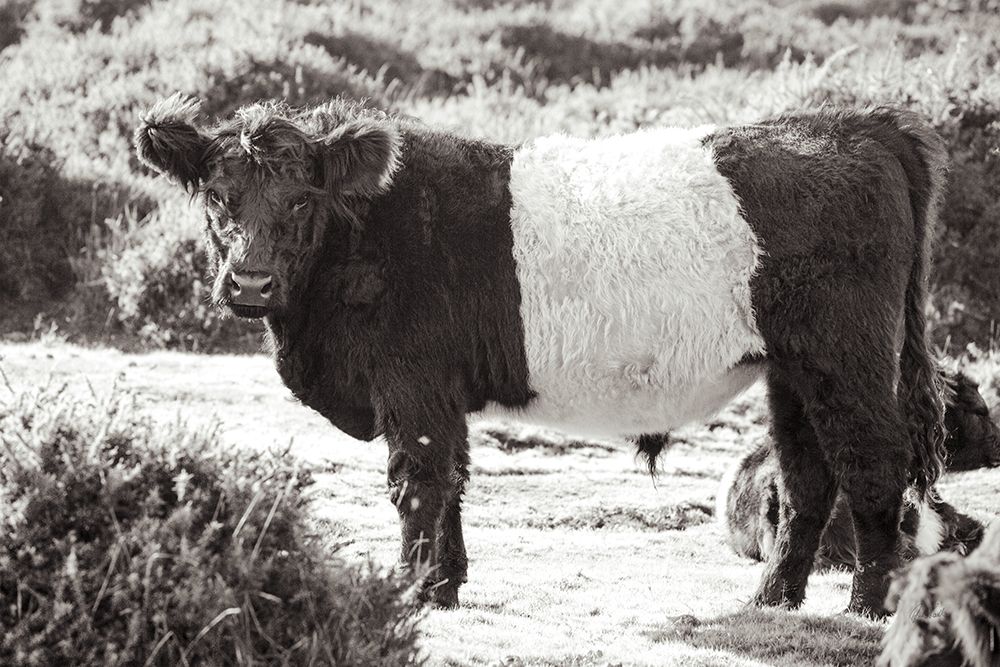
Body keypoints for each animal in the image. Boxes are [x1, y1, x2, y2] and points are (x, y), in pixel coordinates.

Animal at [135, 96, 947, 616]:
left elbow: (417, 485)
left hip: (846, 354)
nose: (250, 282)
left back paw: (867, 604)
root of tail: (855, 123)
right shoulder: (439, 394)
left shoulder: (411, 384)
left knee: (872, 464)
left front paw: (412, 590)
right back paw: (773, 598)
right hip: (794, 367)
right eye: (216, 195)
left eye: (301, 200)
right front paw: (445, 586)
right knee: (807, 475)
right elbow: (453, 483)